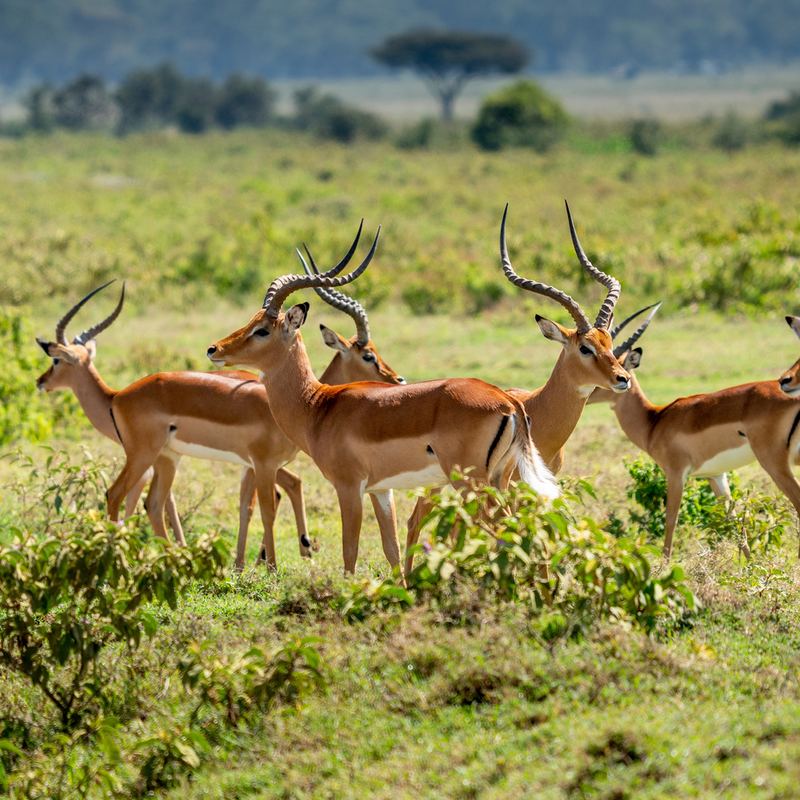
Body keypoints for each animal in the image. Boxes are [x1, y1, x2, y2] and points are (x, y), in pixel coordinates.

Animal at [206, 223, 559, 574]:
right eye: (251, 320)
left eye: (263, 330)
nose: (214, 349)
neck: (318, 407)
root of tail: (508, 402)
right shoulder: (381, 489)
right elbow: (391, 550)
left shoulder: (349, 487)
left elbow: (350, 553)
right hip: (499, 478)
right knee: (524, 529)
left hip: (471, 483)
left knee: (506, 531)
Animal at [588, 312, 800, 557]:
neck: (654, 421)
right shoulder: (716, 475)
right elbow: (734, 522)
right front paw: (751, 565)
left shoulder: (676, 473)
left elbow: (671, 521)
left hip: (774, 462)